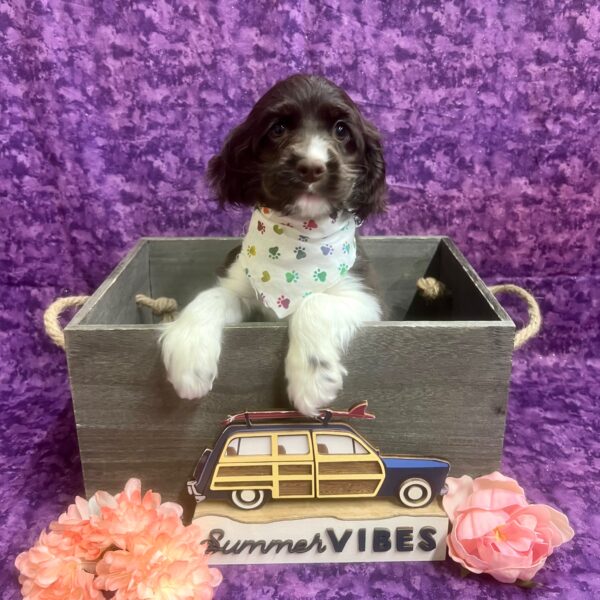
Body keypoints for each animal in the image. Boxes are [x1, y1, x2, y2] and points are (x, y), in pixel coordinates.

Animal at [161, 72, 384, 414]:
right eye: (278, 128)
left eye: (341, 130)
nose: (311, 166)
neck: (299, 243)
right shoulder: (240, 285)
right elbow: (212, 295)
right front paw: (188, 355)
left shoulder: (365, 299)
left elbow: (315, 303)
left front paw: (312, 380)